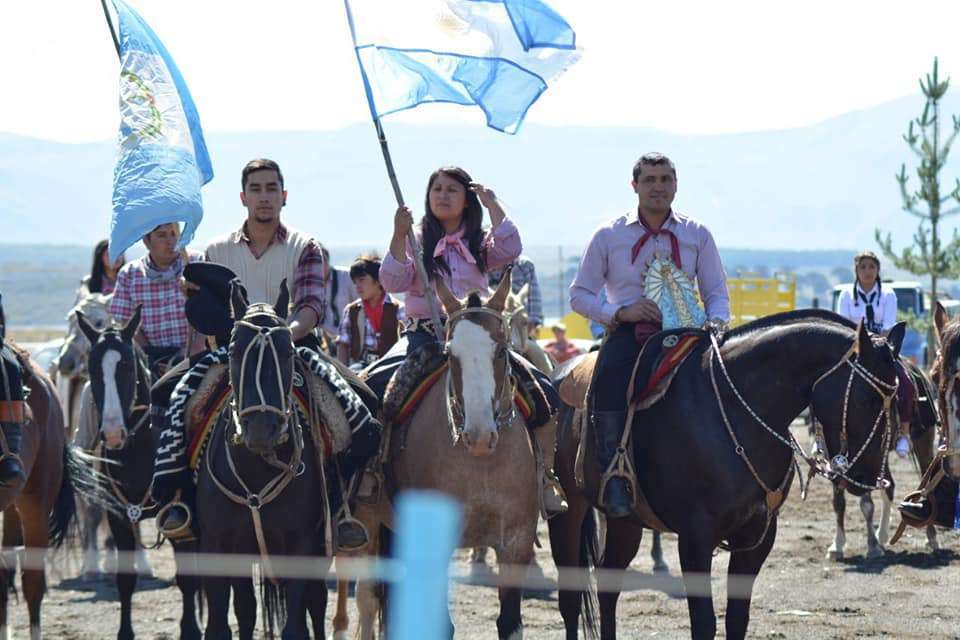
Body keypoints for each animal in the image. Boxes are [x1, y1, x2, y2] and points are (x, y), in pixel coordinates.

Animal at [76, 304, 202, 640]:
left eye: (127, 366)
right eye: (93, 367)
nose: (113, 433)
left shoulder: (177, 515)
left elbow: (187, 578)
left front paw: (191, 629)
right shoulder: (119, 515)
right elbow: (125, 579)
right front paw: (125, 632)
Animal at [196, 282, 330, 636]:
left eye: (288, 353)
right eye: (233, 351)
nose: (261, 430)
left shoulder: (301, 546)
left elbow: (296, 626)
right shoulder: (218, 545)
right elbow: (221, 624)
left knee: (317, 603)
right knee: (246, 608)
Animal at [552, 308, 904, 636]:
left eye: (895, 399)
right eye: (866, 398)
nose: (869, 478)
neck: (736, 413)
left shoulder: (757, 536)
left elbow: (737, 619)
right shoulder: (695, 538)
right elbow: (704, 623)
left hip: (625, 522)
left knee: (608, 586)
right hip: (569, 511)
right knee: (569, 600)